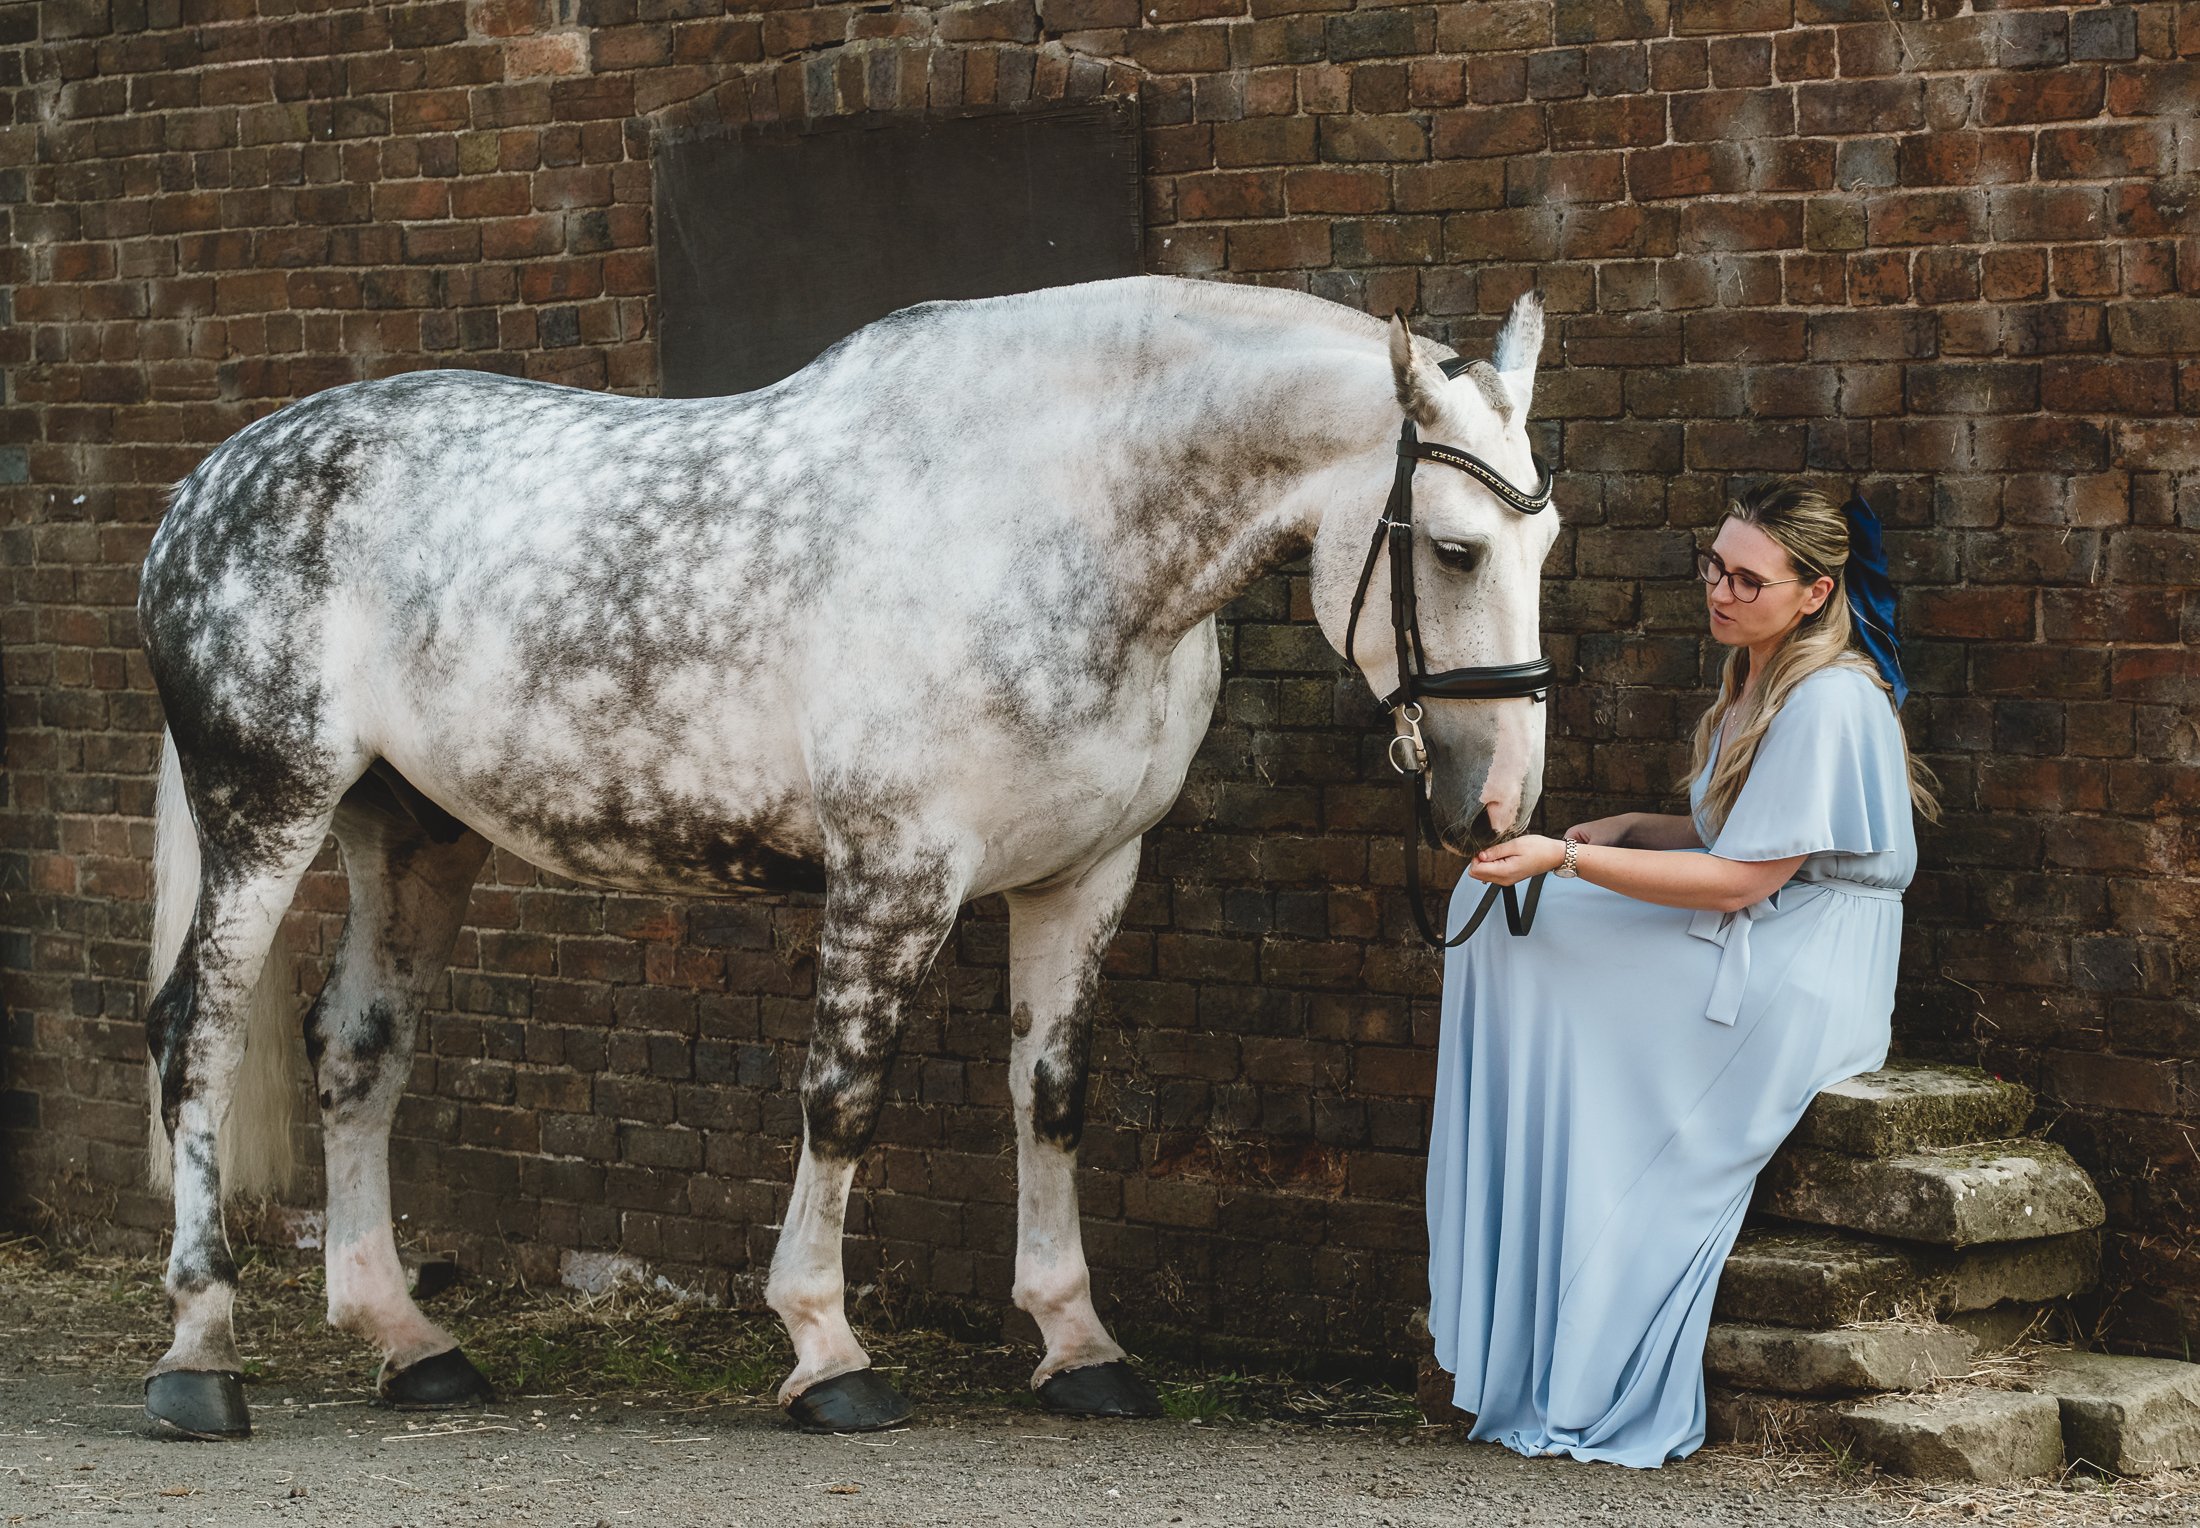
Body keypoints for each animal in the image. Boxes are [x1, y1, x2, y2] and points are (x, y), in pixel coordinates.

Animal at [134, 274, 1558, 1439]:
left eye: (1544, 545)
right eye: (1452, 548)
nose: (1498, 803)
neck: (1043, 519)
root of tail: (205, 487)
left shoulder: (1086, 874)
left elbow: (1051, 1099)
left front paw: (1079, 1345)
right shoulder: (895, 870)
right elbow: (843, 1096)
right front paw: (827, 1350)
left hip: (409, 831)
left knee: (354, 1046)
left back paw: (409, 1341)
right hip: (267, 808)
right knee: (196, 1033)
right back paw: (199, 1353)